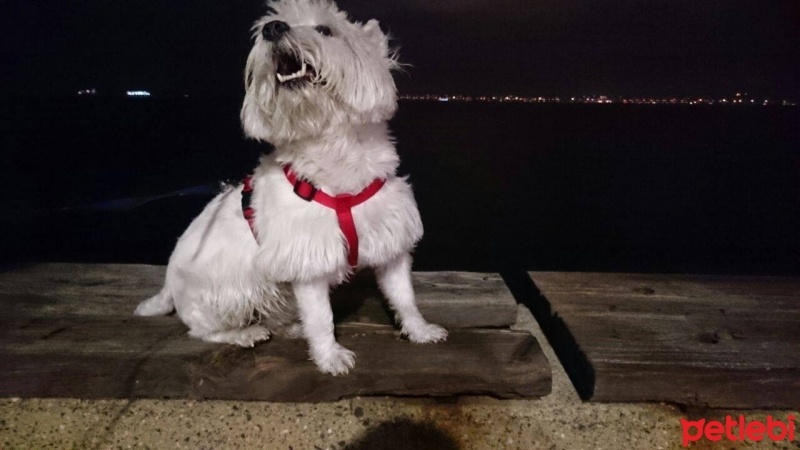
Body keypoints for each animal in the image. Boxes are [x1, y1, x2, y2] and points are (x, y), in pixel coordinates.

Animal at [133, 0, 444, 374]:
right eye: (269, 25)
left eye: (325, 30)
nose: (273, 29)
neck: (335, 155)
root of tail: (168, 283)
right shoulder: (308, 261)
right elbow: (321, 317)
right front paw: (330, 357)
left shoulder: (392, 244)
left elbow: (404, 296)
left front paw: (420, 330)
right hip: (229, 292)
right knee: (202, 328)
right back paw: (245, 333)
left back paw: (291, 327)